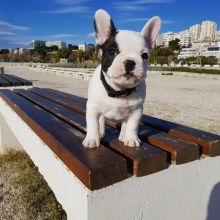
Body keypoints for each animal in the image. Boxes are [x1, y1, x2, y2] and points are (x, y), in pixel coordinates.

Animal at [82, 9, 162, 149]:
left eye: (145, 55)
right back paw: (101, 132)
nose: (130, 62)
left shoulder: (136, 111)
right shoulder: (92, 107)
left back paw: (123, 135)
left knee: (125, 123)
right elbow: (92, 124)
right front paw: (92, 139)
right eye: (112, 52)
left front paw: (131, 139)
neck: (119, 90)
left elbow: (132, 126)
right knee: (101, 119)